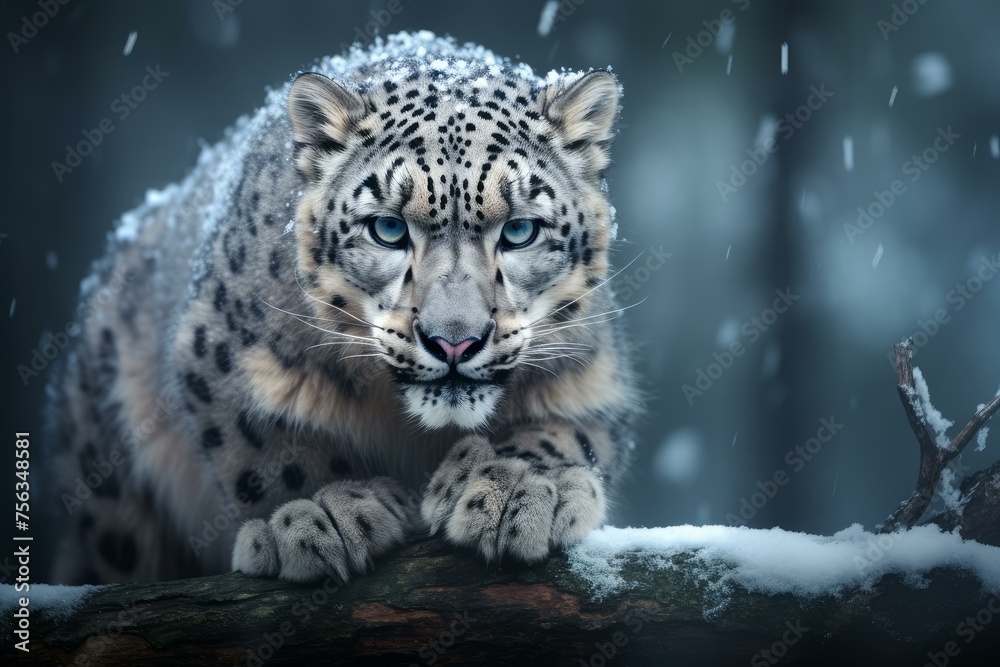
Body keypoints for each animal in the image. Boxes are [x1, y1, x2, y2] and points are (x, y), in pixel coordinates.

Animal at [46, 31, 638, 585]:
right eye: (388, 228)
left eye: (519, 231)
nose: (454, 342)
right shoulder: (218, 352)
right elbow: (266, 446)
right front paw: (326, 509)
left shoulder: (592, 371)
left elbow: (568, 431)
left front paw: (516, 485)